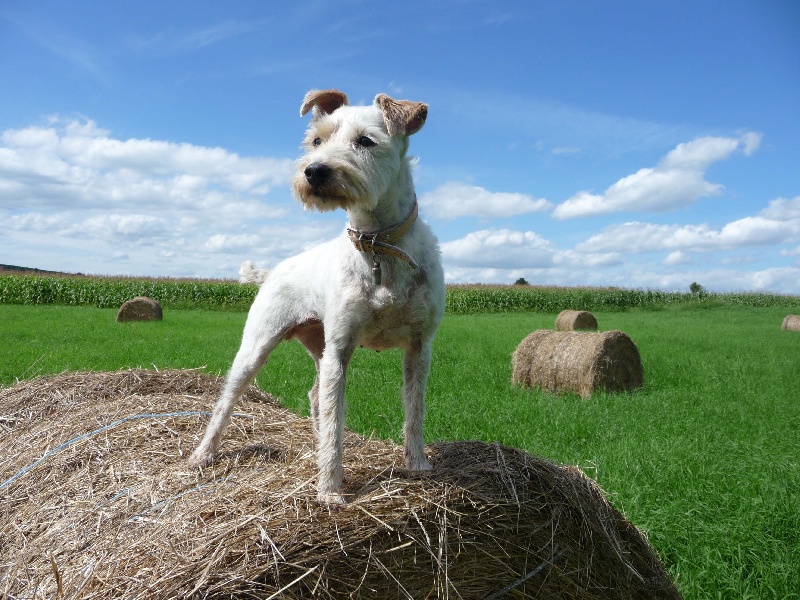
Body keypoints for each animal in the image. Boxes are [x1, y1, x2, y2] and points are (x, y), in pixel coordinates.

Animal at [190, 86, 446, 504]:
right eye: (316, 141)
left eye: (365, 141)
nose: (314, 171)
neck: (378, 244)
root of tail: (270, 273)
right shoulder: (340, 349)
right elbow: (335, 421)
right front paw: (329, 491)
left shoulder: (419, 347)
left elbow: (414, 409)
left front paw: (418, 465)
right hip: (258, 345)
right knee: (228, 401)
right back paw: (203, 454)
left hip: (317, 344)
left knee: (314, 396)